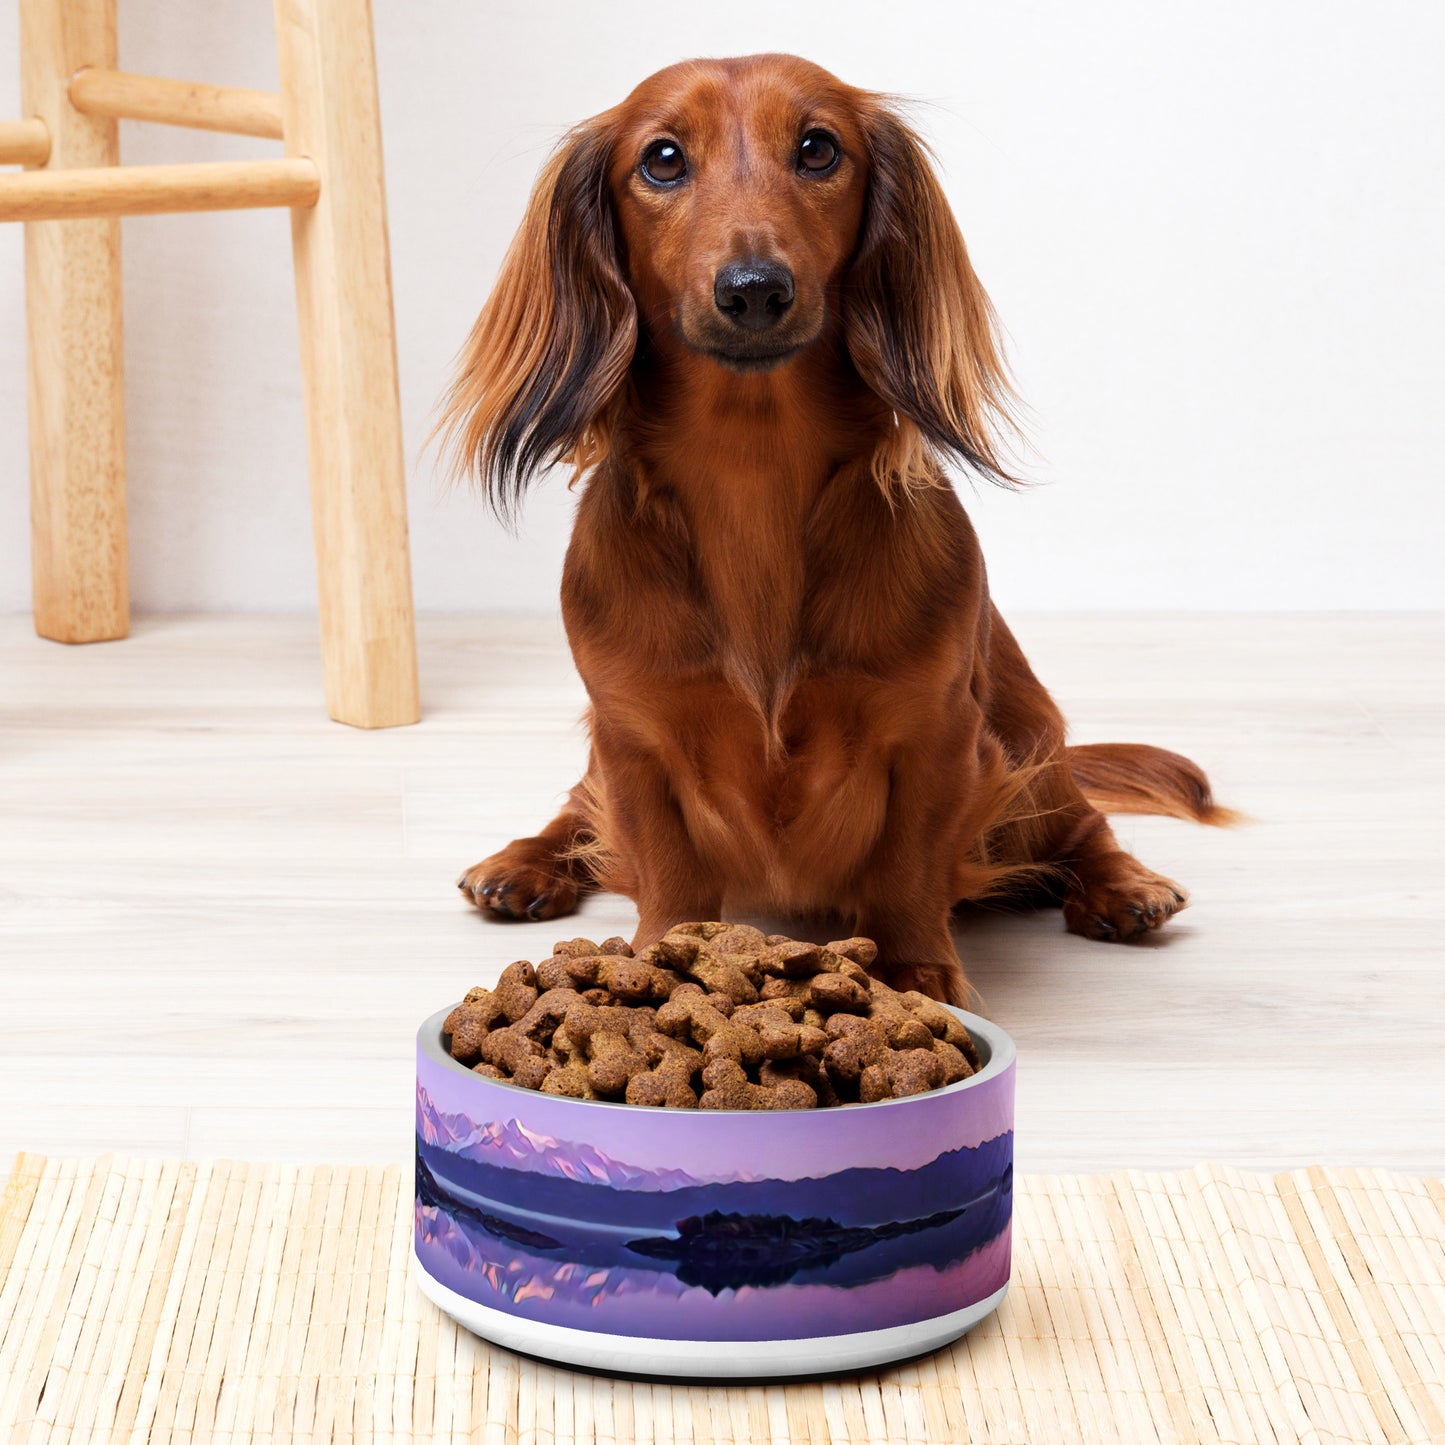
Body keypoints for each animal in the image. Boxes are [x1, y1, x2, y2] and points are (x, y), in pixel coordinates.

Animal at [442, 56, 1231, 1005]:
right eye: (661, 159)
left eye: (818, 148)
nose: (753, 290)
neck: (752, 472)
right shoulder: (632, 736)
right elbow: (665, 866)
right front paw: (660, 959)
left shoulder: (936, 733)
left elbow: (905, 866)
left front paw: (916, 971)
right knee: (576, 810)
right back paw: (522, 863)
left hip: (1028, 744)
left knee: (1081, 823)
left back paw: (1123, 885)